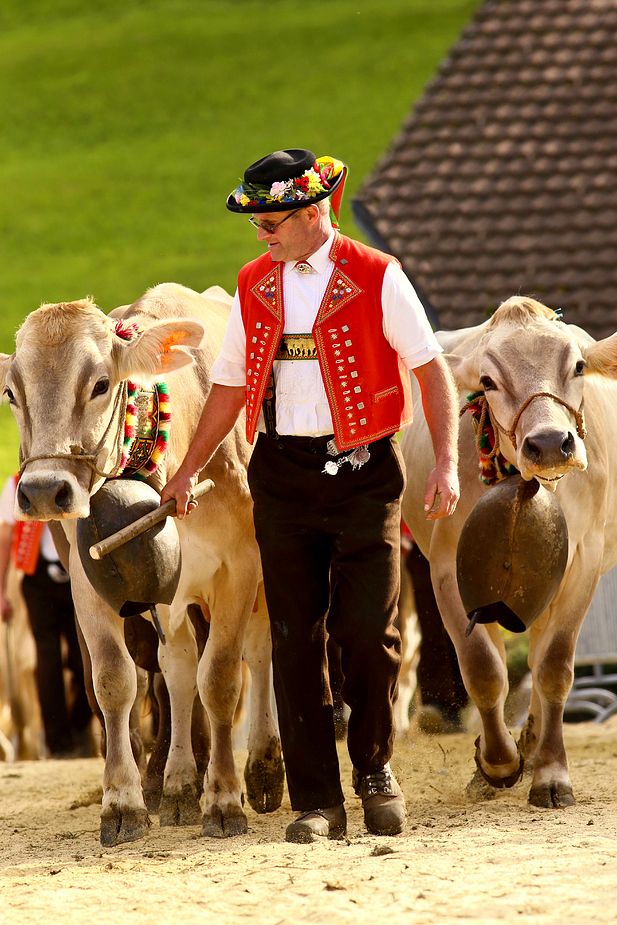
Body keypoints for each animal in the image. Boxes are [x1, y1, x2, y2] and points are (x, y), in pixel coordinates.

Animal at [0, 284, 282, 844]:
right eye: (11, 393)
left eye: (101, 384)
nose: (43, 491)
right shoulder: (89, 581)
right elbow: (117, 679)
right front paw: (123, 804)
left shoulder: (240, 567)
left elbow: (221, 678)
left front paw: (224, 800)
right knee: (177, 667)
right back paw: (177, 785)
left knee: (259, 654)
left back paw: (262, 769)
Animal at [402, 298, 616, 808]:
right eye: (487, 381)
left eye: (578, 366)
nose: (549, 444)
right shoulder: (447, 568)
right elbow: (483, 669)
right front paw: (497, 763)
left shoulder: (584, 561)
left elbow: (554, 666)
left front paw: (551, 774)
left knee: (538, 660)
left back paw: (536, 739)